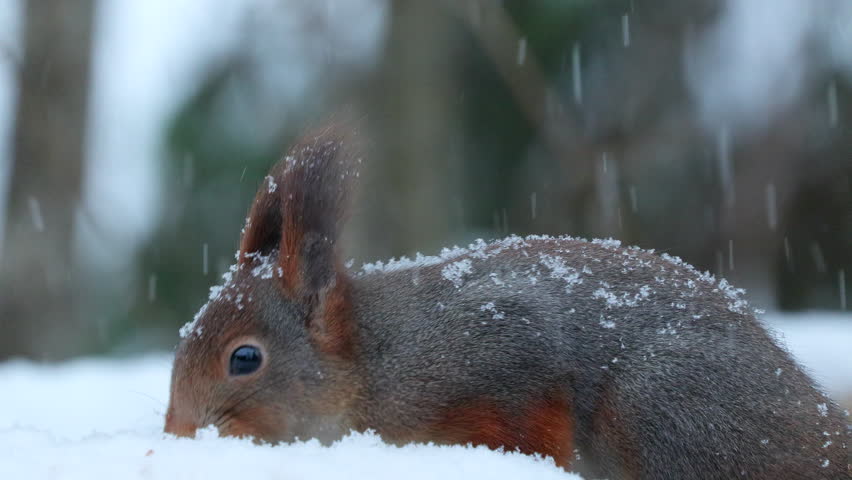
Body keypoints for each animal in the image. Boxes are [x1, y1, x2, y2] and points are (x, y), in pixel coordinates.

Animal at [165, 124, 850, 479]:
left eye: (245, 359)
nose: (178, 433)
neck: (378, 362)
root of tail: (821, 427)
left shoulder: (503, 354)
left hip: (670, 405)